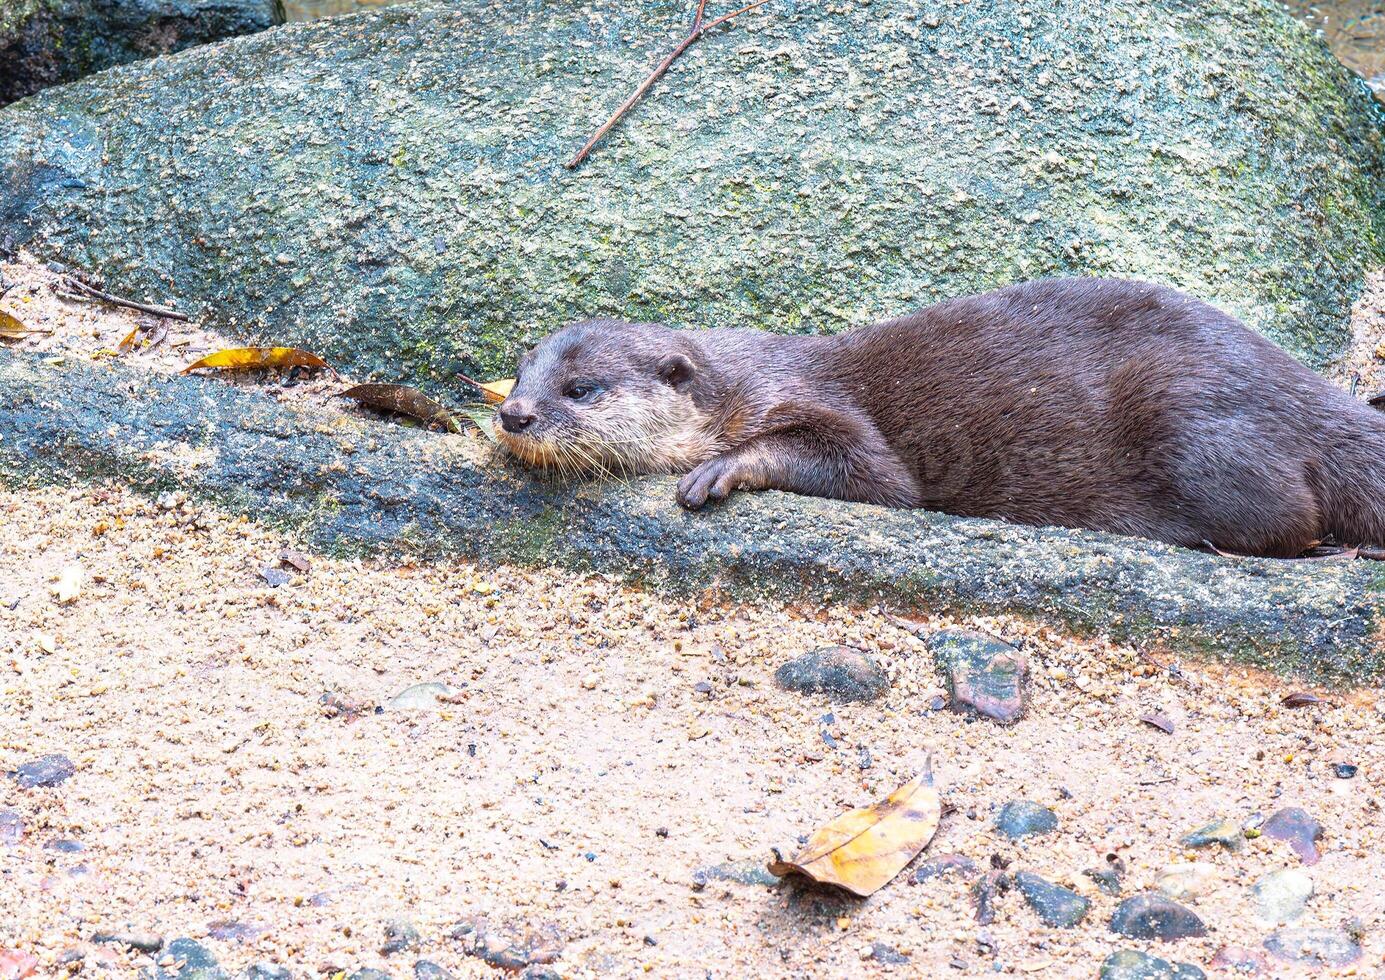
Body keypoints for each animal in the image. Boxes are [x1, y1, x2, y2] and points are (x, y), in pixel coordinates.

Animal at [495, 275, 1385, 559]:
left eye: (582, 388)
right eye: (523, 368)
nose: (513, 416)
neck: (744, 382)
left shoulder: (816, 403)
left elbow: (876, 477)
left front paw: (720, 469)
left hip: (1193, 420)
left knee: (1289, 522)